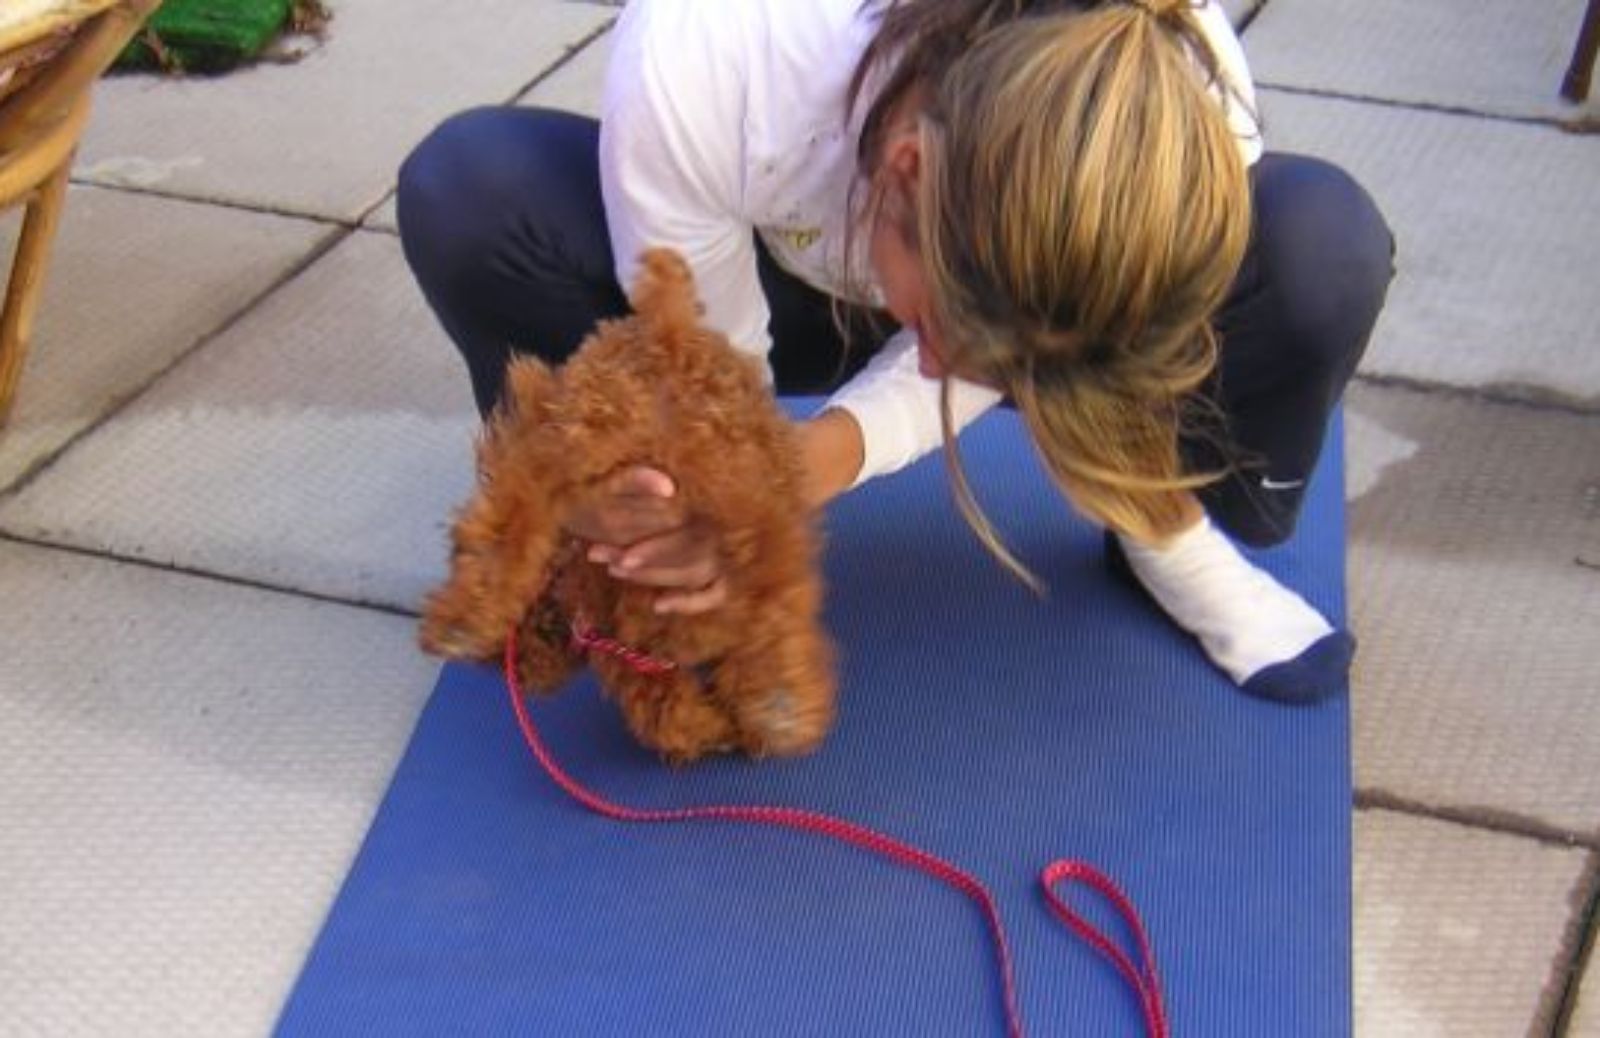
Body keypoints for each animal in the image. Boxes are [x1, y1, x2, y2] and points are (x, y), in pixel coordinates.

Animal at [419, 244, 838, 761]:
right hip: (668, 448)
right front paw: (724, 727)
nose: (515, 667)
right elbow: (668, 715)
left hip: (606, 434)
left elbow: (668, 711)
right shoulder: (636, 659)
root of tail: (665, 326)